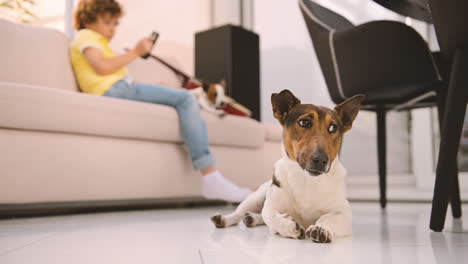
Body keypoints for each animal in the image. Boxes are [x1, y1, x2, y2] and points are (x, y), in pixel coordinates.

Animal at [209, 89, 366, 242]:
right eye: (304, 122)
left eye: (333, 128)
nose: (321, 160)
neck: (307, 179)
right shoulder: (271, 205)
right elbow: (270, 215)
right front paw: (289, 227)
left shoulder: (343, 212)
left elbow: (329, 218)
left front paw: (321, 228)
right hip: (256, 197)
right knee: (240, 212)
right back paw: (225, 219)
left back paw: (251, 218)